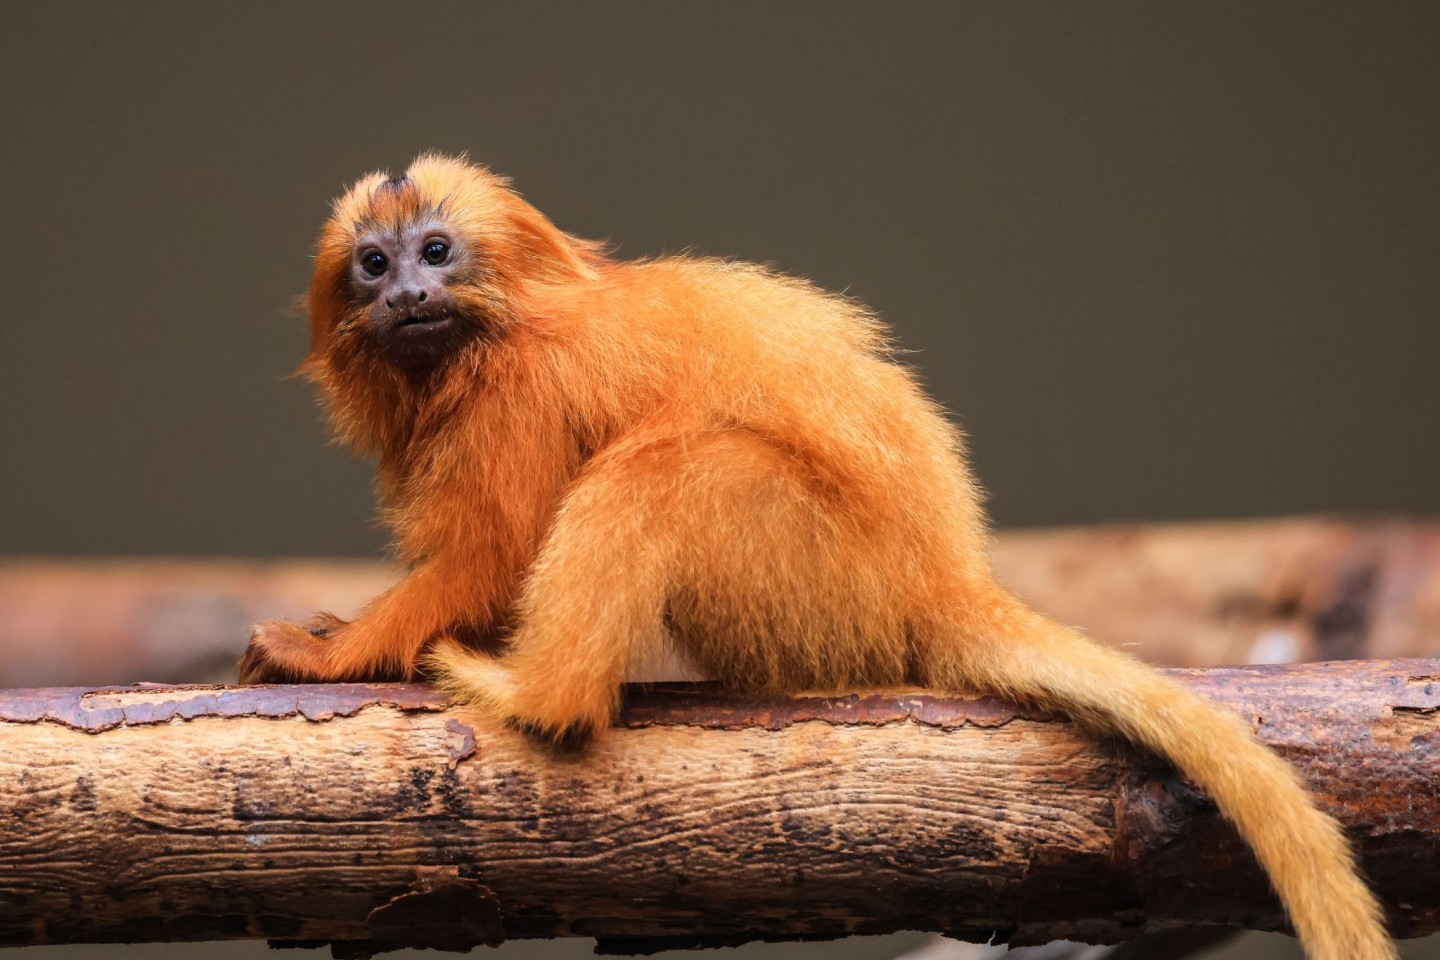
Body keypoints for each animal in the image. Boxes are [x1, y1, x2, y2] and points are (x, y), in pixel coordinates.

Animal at [239, 154, 1393, 955]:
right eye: (374, 264)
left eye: (437, 253)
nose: (407, 296)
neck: (486, 332)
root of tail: (940, 579)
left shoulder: (518, 395)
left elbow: (491, 554)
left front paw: (332, 656)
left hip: (820, 577)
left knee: (663, 469)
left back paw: (541, 697)